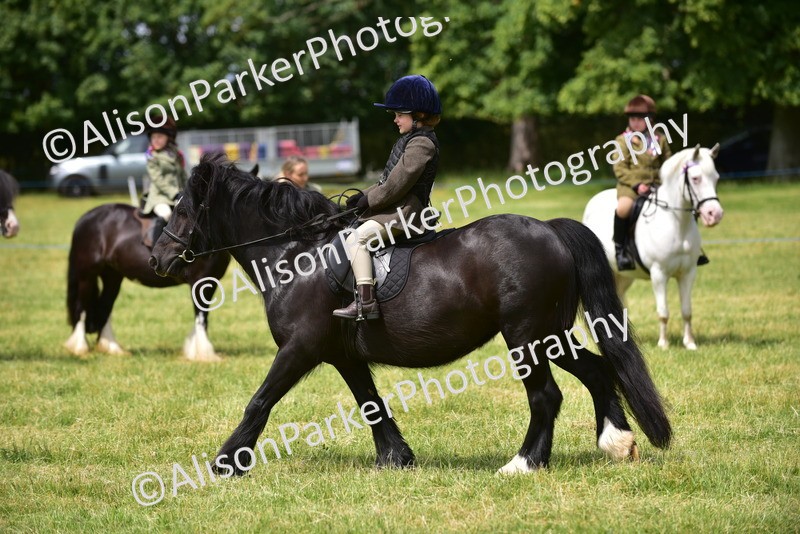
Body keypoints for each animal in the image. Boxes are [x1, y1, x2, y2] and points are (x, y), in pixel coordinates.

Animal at [64, 202, 230, 361]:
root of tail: (86, 218)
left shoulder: (210, 281)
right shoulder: (200, 281)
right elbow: (201, 316)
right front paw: (204, 353)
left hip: (112, 277)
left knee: (104, 308)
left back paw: (111, 348)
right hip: (86, 276)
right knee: (82, 309)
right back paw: (79, 347)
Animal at [149, 154, 672, 474]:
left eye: (182, 209)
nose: (157, 259)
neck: (295, 255)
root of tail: (549, 229)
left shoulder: (299, 349)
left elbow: (259, 402)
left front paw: (225, 464)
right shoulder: (343, 355)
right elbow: (371, 404)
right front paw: (396, 458)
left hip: (526, 336)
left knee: (546, 396)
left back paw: (523, 463)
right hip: (551, 334)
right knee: (598, 371)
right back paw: (617, 443)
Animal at [582, 144, 724, 350]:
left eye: (716, 178)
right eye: (696, 178)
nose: (715, 214)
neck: (677, 223)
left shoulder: (688, 273)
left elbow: (687, 310)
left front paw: (690, 343)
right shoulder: (659, 274)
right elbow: (663, 312)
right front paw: (663, 344)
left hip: (624, 275)